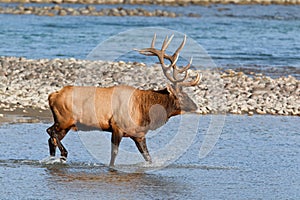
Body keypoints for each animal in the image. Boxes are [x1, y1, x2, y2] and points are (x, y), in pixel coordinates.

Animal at [46, 33, 202, 166]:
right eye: (181, 95)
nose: (196, 106)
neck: (144, 111)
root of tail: (52, 96)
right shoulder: (117, 127)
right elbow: (114, 154)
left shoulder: (139, 135)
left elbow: (148, 157)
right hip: (64, 119)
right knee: (50, 132)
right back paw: (63, 154)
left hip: (66, 124)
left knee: (51, 139)